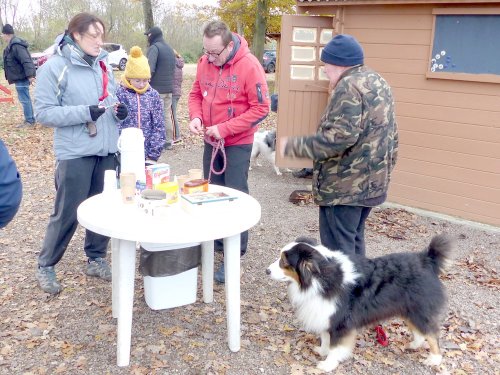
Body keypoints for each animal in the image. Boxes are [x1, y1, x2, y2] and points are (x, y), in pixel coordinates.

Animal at [268, 236, 456, 372]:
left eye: (284, 262)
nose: (266, 270)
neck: (320, 279)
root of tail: (427, 259)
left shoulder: (341, 323)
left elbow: (335, 346)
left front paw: (328, 364)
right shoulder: (327, 315)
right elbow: (326, 338)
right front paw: (322, 351)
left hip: (419, 310)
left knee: (431, 334)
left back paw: (434, 359)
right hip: (409, 310)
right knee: (420, 331)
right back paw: (414, 345)